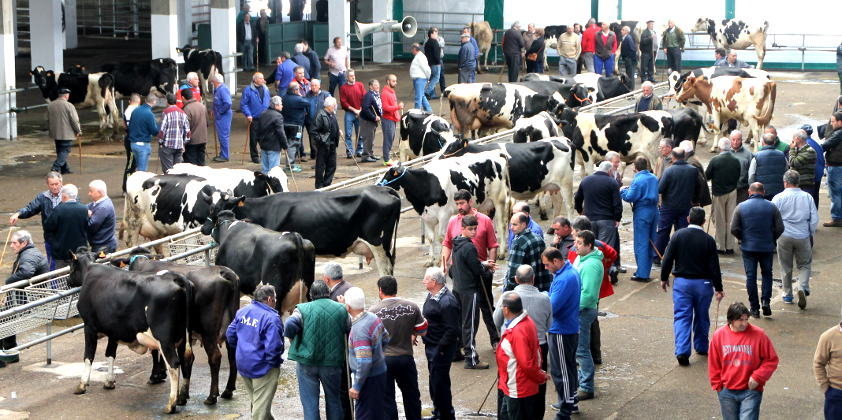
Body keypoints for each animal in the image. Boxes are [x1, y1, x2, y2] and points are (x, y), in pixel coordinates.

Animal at [68, 246, 190, 414]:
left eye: (71, 266)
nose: (67, 281)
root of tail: (176, 279)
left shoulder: (89, 326)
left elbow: (88, 356)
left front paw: (82, 385)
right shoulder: (114, 330)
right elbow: (110, 354)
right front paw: (109, 382)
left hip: (164, 338)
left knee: (173, 364)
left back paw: (171, 404)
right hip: (184, 335)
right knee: (186, 359)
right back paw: (182, 398)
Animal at [120, 166, 288, 246]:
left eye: (287, 179)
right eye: (273, 182)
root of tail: (137, 174)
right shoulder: (188, 232)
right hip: (134, 221)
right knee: (131, 242)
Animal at [202, 186, 402, 276]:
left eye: (221, 207)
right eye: (210, 207)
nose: (204, 228)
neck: (264, 210)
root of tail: (384, 189)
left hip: (378, 243)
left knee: (385, 270)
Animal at [378, 151, 508, 262]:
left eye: (389, 174)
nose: (377, 185)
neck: (426, 184)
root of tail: (497, 153)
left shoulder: (444, 214)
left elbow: (441, 237)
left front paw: (441, 259)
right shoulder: (426, 216)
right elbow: (430, 238)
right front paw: (430, 260)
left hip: (499, 199)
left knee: (501, 224)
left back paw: (501, 252)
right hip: (485, 202)